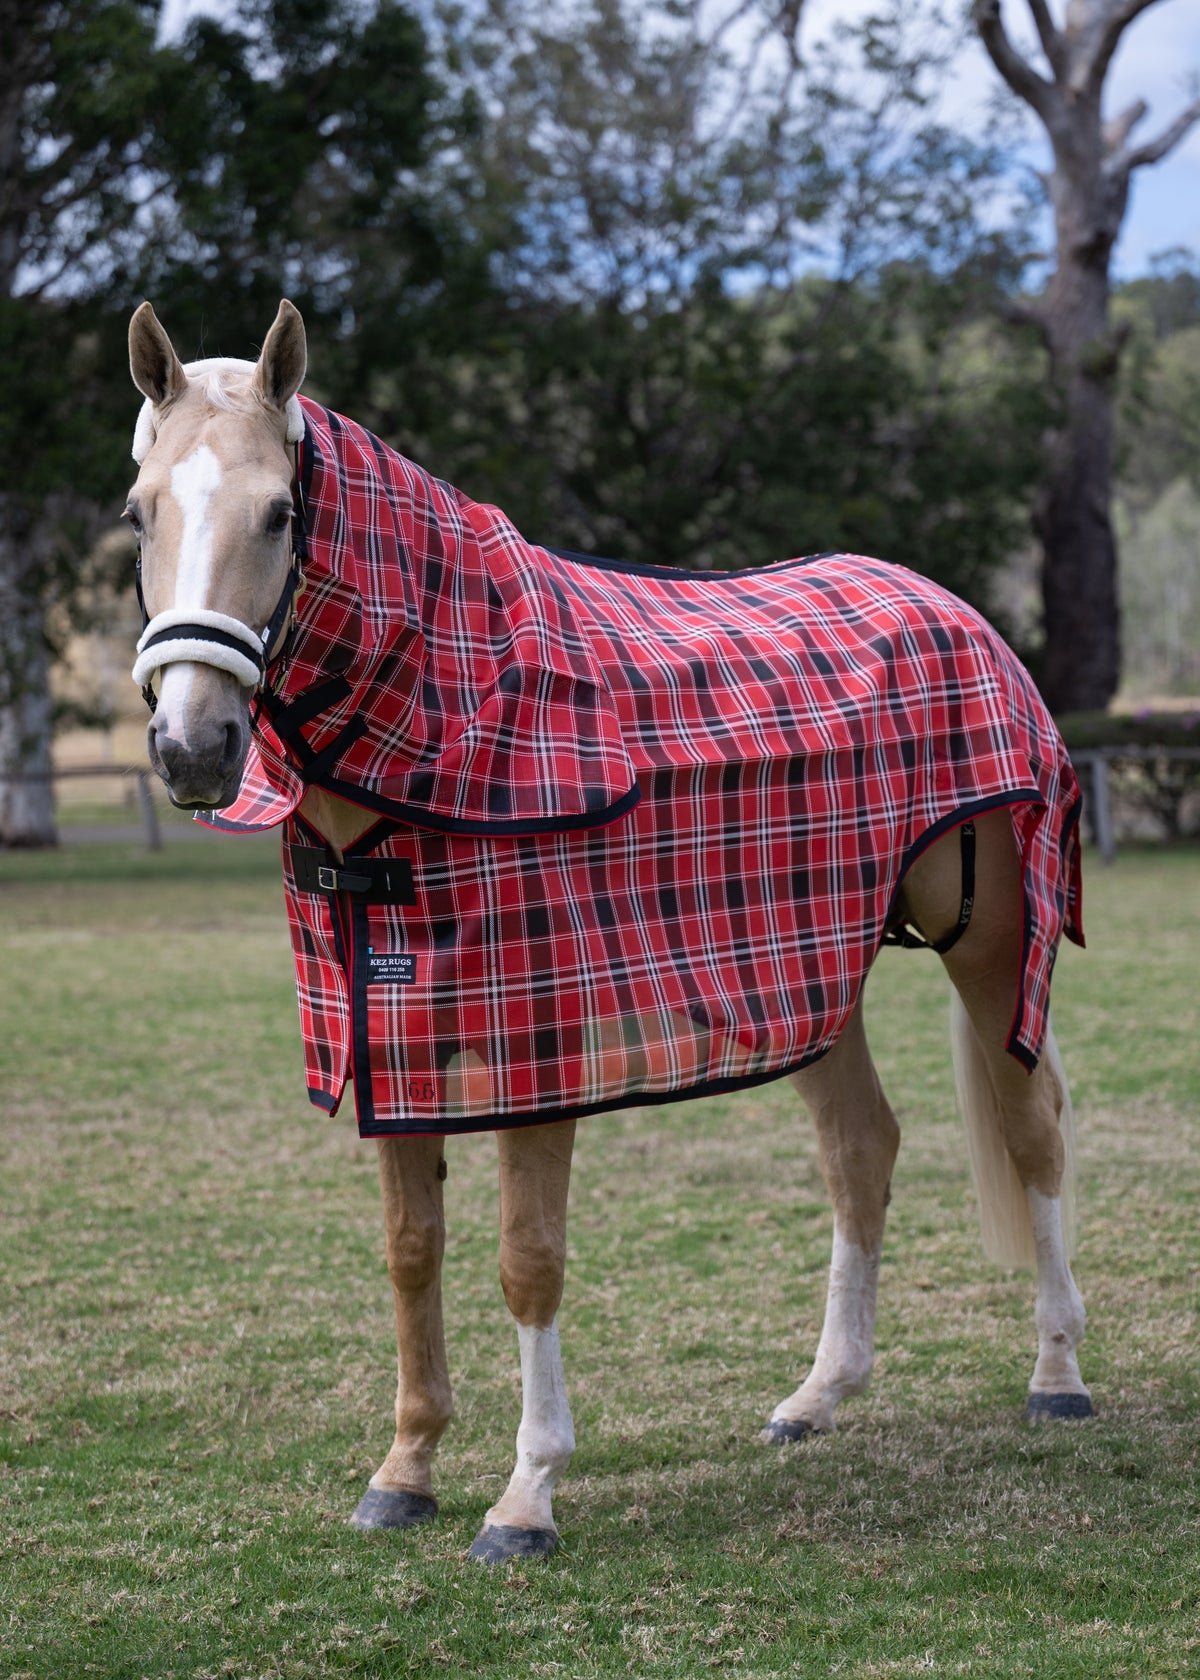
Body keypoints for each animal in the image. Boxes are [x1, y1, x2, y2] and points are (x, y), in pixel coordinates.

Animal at [124, 298, 1093, 1564]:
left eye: (281, 512)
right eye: (139, 511)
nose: (193, 749)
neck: (460, 725)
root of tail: (956, 612)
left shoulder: (537, 1051)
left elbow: (526, 1264)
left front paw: (526, 1495)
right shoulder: (396, 1031)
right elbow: (410, 1252)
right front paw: (406, 1469)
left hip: (992, 943)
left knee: (1033, 1134)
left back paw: (1058, 1375)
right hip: (806, 973)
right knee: (861, 1150)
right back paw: (817, 1396)